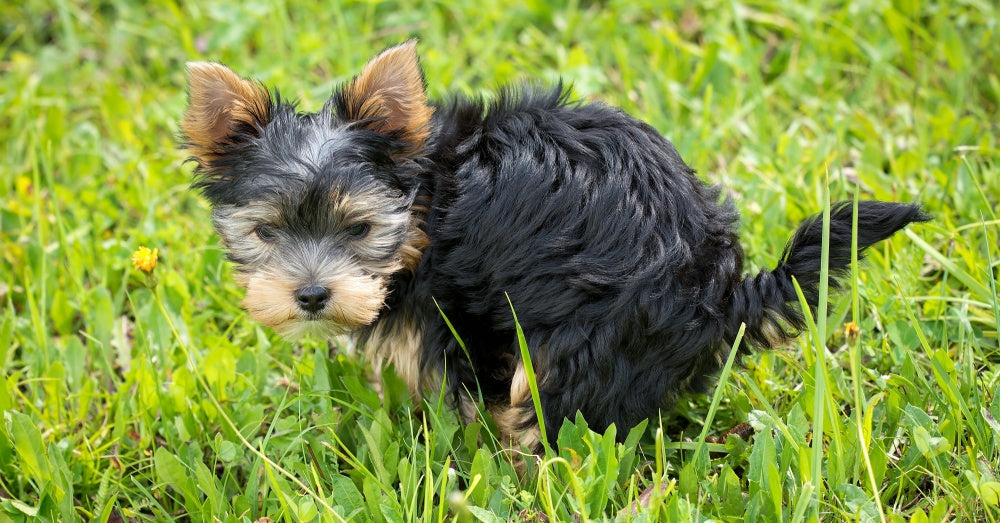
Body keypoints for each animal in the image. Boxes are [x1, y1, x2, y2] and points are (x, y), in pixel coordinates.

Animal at [180, 40, 928, 454]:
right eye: (267, 232)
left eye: (359, 229)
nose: (311, 295)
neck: (425, 202)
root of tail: (722, 290)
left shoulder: (459, 312)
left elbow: (460, 385)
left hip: (588, 333)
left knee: (552, 407)